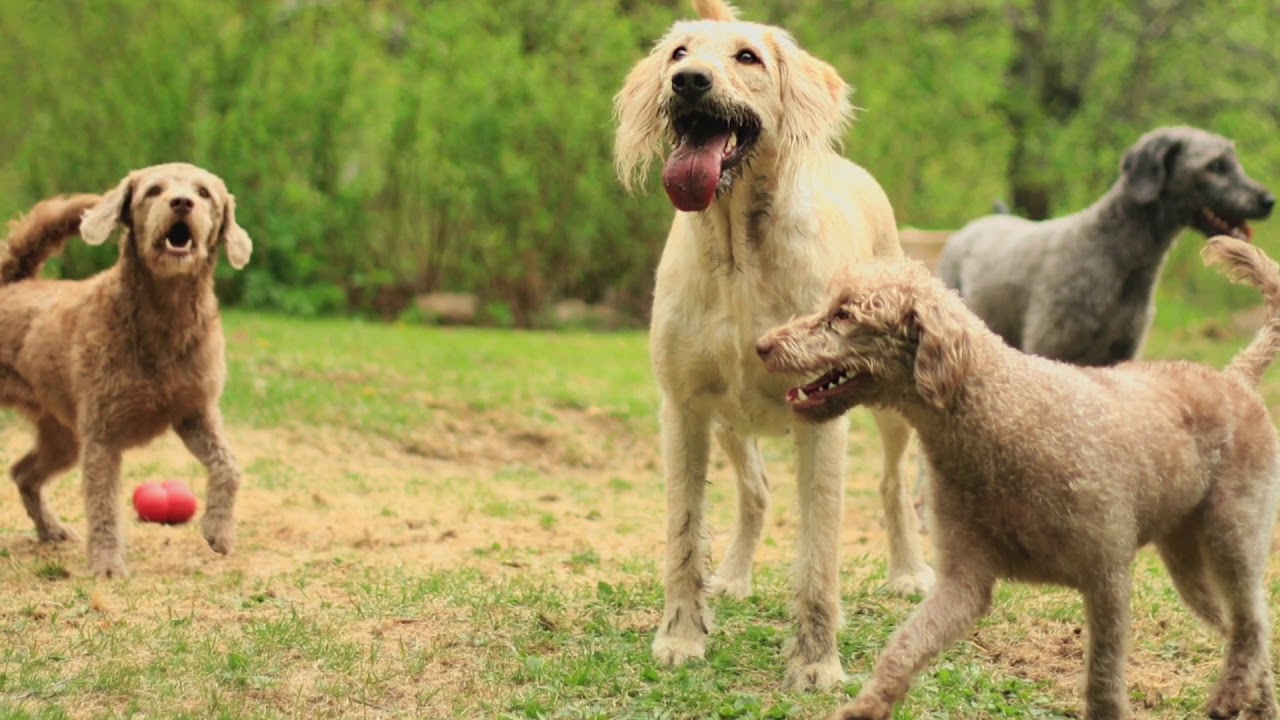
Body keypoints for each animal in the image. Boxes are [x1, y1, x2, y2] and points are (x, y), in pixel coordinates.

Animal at [611, 0, 931, 686]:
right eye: (679, 54)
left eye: (748, 57)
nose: (689, 82)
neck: (738, 255)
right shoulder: (684, 408)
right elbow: (684, 533)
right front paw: (682, 635)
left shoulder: (822, 419)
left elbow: (818, 555)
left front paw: (816, 662)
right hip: (730, 422)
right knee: (755, 494)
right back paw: (732, 576)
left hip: (894, 407)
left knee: (893, 486)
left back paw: (910, 572)